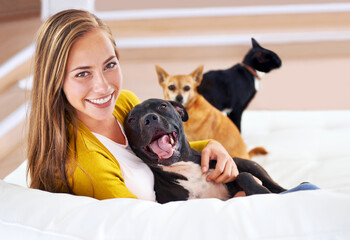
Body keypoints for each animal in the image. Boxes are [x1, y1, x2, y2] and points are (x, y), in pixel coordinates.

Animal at [124, 98, 286, 203]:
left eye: (162, 106)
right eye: (132, 120)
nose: (150, 118)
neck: (184, 167)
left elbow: (243, 176)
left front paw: (261, 192)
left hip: (246, 163)